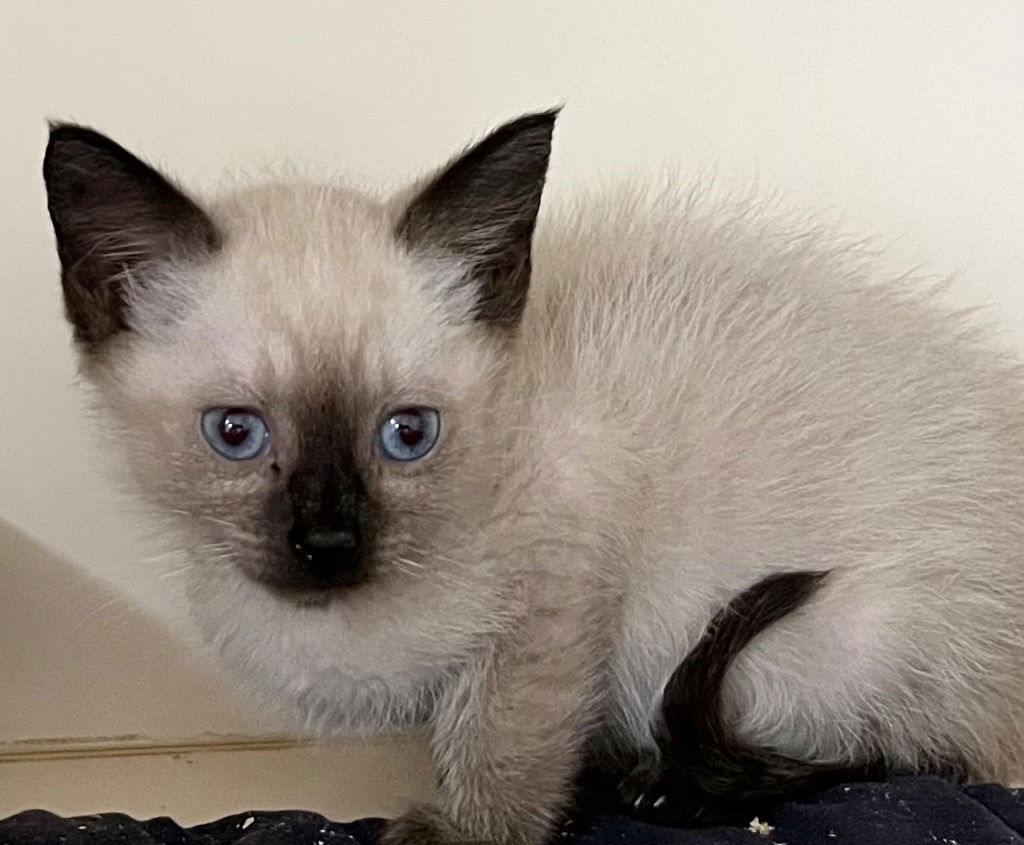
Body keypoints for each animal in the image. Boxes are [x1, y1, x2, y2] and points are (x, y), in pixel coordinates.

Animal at [44, 113, 1024, 843]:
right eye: (237, 433)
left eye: (407, 433)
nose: (328, 544)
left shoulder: (555, 599)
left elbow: (500, 743)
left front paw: (463, 832)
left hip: (829, 646)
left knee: (917, 760)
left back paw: (673, 789)